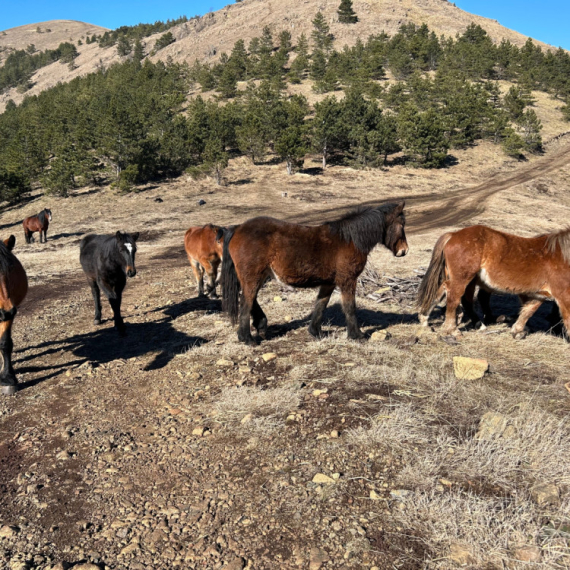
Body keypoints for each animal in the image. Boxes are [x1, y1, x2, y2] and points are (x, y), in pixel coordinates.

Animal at [220, 202, 406, 344]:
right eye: (402, 224)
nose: (404, 251)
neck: (350, 239)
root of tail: (238, 228)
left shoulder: (329, 282)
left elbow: (321, 304)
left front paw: (315, 331)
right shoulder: (348, 280)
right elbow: (350, 307)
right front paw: (356, 335)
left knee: (251, 299)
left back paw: (261, 325)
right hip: (254, 277)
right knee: (246, 302)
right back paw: (247, 338)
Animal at [414, 223, 568, 338]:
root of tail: (454, 235)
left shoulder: (539, 294)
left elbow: (528, 311)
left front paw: (518, 331)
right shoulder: (563, 297)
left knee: (441, 293)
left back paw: (425, 319)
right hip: (462, 279)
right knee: (454, 297)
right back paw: (452, 330)